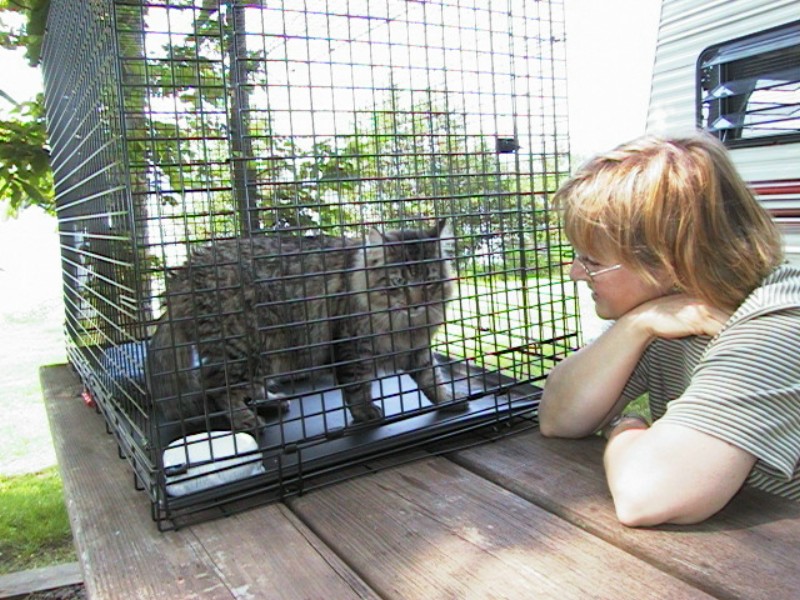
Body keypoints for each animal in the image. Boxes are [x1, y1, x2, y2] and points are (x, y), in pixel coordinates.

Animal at [148, 220, 462, 436]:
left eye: (429, 282)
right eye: (399, 283)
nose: (416, 304)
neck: (403, 325)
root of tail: (187, 272)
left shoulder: (417, 349)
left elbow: (432, 378)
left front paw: (449, 399)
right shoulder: (350, 347)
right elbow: (357, 387)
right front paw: (365, 413)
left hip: (265, 354)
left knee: (247, 387)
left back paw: (271, 402)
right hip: (249, 347)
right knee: (216, 387)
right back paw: (247, 420)